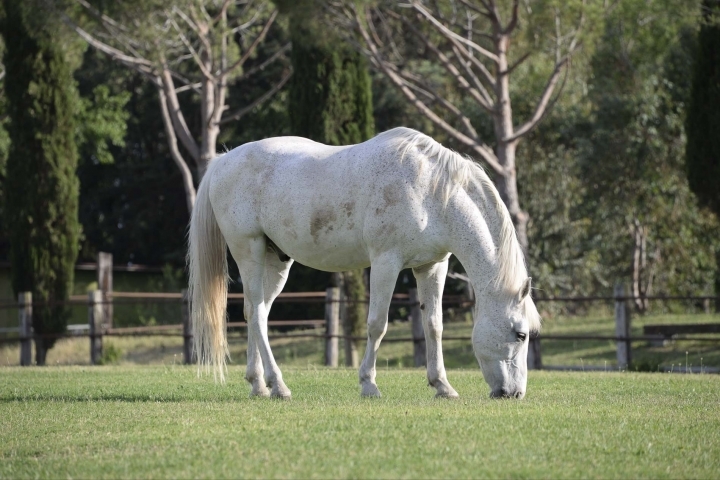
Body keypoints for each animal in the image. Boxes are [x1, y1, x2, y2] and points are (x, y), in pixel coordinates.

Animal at [187, 125, 540, 400]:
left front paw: (442, 386)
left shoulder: (431, 266)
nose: (514, 393)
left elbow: (434, 325)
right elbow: (377, 324)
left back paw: (259, 385)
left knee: (254, 312)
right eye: (520, 335)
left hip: (276, 260)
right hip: (249, 250)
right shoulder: (386, 263)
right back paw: (279, 386)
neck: (431, 192)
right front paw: (369, 384)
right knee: (257, 313)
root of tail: (222, 162)